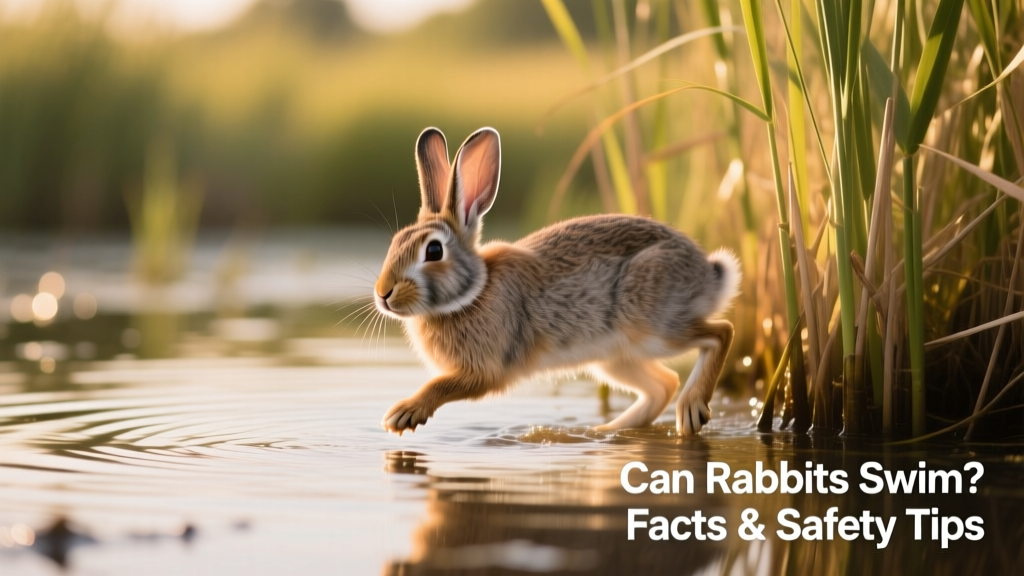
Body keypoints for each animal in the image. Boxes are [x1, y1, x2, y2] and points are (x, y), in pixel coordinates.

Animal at [375, 127, 740, 436]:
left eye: (434, 250)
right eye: (395, 242)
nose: (383, 293)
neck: (473, 293)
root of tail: (708, 274)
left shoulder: (485, 371)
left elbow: (441, 385)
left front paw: (403, 414)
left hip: (654, 326)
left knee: (720, 333)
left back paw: (690, 411)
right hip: (615, 358)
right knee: (664, 384)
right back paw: (604, 431)